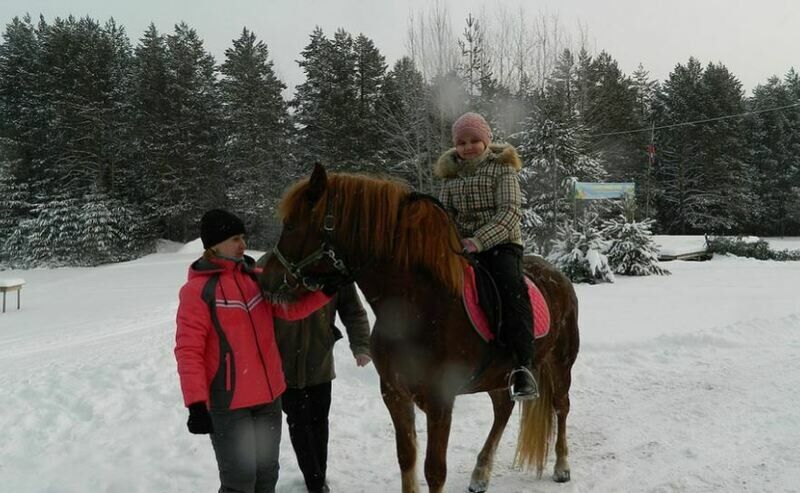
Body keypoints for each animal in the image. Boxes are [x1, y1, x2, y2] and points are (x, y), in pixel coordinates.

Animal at [262, 165, 580, 492]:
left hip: (560, 364)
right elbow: (407, 458)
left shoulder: (441, 401)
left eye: (291, 225)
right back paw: (481, 473)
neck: (416, 309)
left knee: (561, 407)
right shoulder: (394, 394)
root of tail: (557, 274)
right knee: (503, 409)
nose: (265, 279)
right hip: (498, 375)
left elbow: (434, 470)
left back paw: (561, 466)